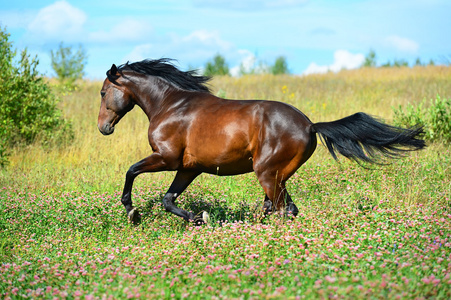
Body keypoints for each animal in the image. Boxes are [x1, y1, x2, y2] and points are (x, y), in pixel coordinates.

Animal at [97, 58, 426, 224]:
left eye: (102, 92)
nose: (103, 128)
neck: (170, 105)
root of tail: (309, 125)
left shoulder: (166, 158)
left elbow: (131, 171)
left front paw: (132, 212)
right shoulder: (189, 167)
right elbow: (168, 200)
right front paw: (199, 218)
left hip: (267, 173)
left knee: (281, 210)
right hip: (278, 176)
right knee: (285, 209)